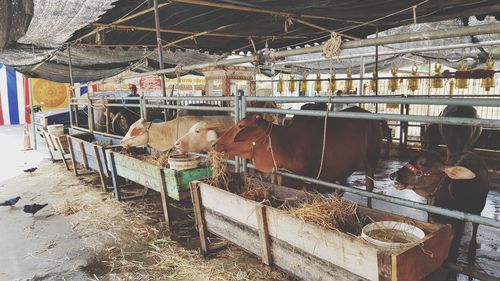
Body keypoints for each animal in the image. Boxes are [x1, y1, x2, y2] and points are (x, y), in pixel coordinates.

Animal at [214, 105, 382, 206]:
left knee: (369, 185)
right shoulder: (280, 174)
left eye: (241, 125)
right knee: (341, 186)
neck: (286, 142)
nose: (215, 144)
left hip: (372, 157)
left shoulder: (309, 180)